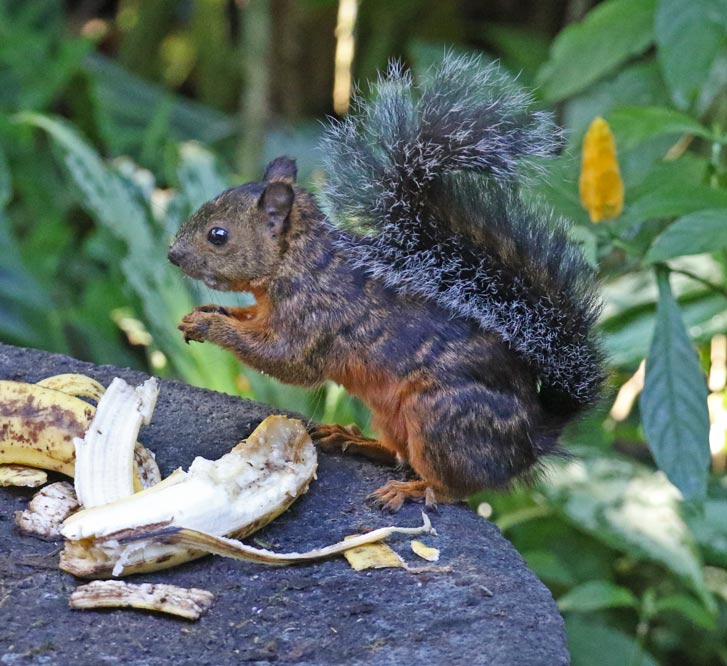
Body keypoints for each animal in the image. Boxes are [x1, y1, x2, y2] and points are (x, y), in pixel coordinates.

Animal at [168, 55, 604, 511]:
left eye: (218, 235)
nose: (172, 255)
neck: (299, 263)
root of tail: (531, 438)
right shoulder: (267, 310)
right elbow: (247, 317)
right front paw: (205, 314)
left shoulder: (315, 320)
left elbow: (286, 361)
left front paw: (210, 325)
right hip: (393, 416)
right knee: (400, 454)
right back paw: (355, 440)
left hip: (440, 420)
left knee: (451, 485)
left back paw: (412, 489)